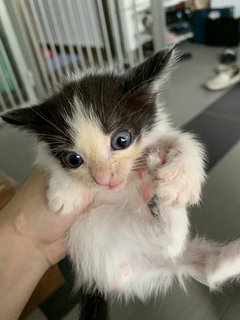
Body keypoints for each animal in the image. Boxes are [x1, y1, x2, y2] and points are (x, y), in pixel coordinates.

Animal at [2, 48, 240, 320]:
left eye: (122, 140)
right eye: (73, 159)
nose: (104, 179)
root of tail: (96, 282)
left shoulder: (158, 131)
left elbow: (184, 140)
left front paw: (182, 177)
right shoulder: (47, 157)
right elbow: (48, 165)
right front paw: (65, 192)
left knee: (190, 258)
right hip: (94, 228)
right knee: (170, 245)